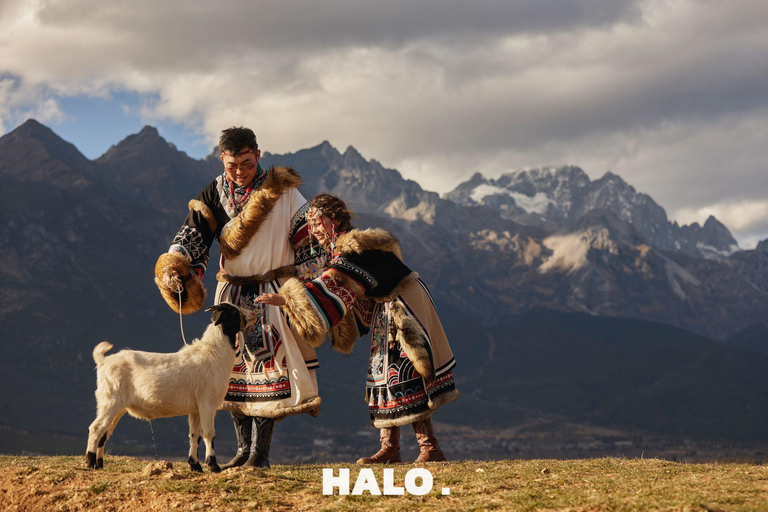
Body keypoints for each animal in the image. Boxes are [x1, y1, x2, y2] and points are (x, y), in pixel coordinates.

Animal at [85, 302, 256, 474]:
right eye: (234, 311)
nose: (254, 313)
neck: (214, 353)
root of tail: (103, 361)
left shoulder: (195, 409)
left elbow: (194, 435)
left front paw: (195, 465)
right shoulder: (207, 403)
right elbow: (209, 433)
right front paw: (213, 465)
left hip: (117, 406)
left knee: (104, 433)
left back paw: (99, 464)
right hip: (111, 400)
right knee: (96, 428)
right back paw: (90, 462)